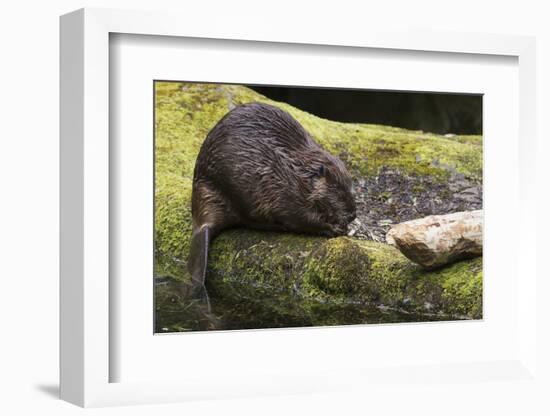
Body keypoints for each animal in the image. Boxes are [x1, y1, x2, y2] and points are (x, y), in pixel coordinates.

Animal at [190, 103, 358, 300]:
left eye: (350, 185)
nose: (353, 214)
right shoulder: (283, 191)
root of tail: (202, 224)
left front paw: (344, 226)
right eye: (337, 189)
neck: (297, 172)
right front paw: (336, 229)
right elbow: (302, 218)